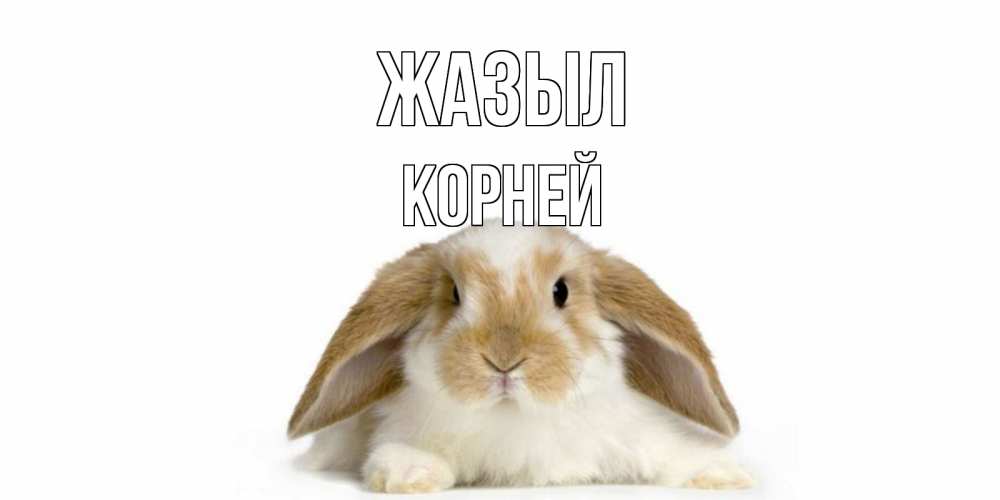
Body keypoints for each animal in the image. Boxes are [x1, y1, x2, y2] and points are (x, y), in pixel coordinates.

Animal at [288, 222, 753, 493]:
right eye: (454, 294)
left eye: (561, 291)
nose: (504, 359)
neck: (514, 416)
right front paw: (409, 474)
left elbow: (671, 451)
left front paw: (724, 474)